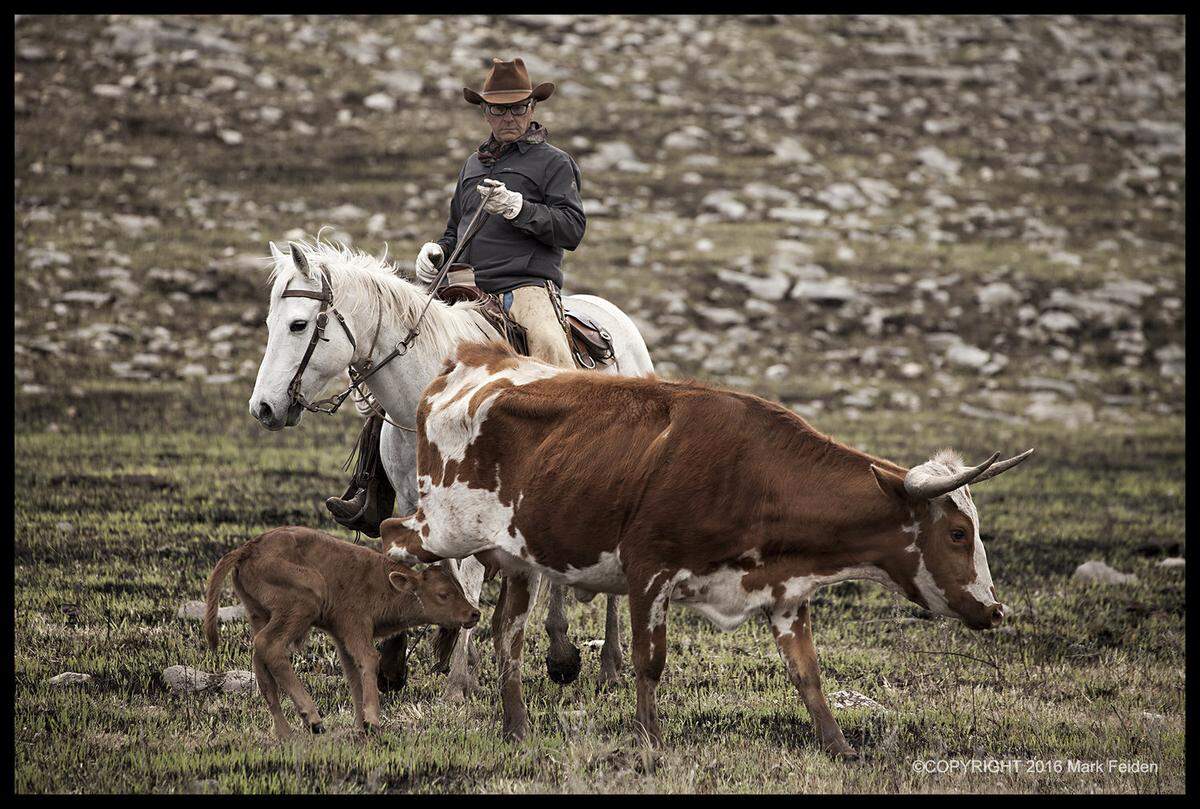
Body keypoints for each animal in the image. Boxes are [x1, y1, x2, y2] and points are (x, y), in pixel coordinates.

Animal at [383, 340, 1033, 757]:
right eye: (958, 533)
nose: (995, 609)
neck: (752, 472)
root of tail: (472, 362)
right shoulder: (648, 571)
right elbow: (649, 662)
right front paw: (651, 745)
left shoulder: (785, 593)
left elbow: (809, 677)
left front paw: (843, 749)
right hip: (443, 526)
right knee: (393, 539)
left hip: (517, 557)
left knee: (508, 634)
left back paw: (517, 730)